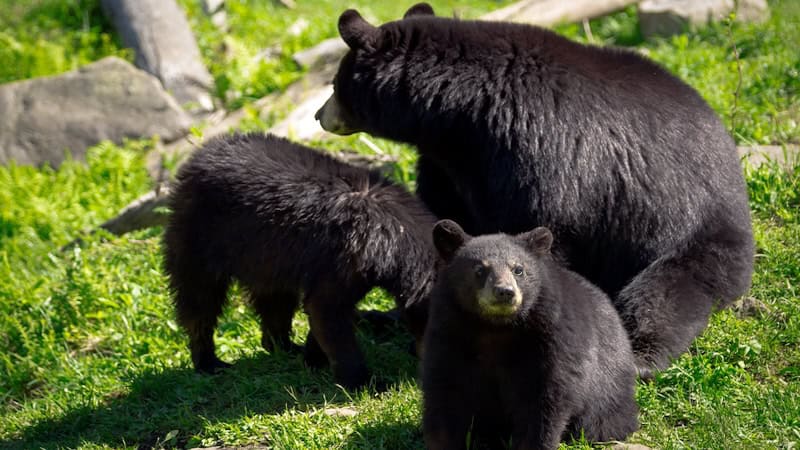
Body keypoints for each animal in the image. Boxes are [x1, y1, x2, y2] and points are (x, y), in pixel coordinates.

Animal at [163, 132, 438, 388]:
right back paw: (209, 362)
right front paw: (365, 382)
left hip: (266, 256)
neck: (396, 233)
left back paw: (283, 346)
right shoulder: (348, 256)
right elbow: (327, 308)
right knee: (200, 299)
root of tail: (198, 156)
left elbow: (322, 312)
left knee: (276, 301)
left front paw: (313, 358)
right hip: (197, 235)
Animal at [316, 3, 752, 376]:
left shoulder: (538, 147)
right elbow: (442, 223)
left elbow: (537, 227)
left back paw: (641, 354)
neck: (460, 115)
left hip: (690, 234)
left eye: (335, 84)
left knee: (664, 296)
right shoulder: (451, 164)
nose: (320, 115)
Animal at [424, 220, 636, 448]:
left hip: (608, 387)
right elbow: (446, 388)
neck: (495, 326)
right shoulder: (450, 330)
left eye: (518, 269)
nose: (505, 292)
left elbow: (544, 397)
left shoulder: (551, 338)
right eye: (480, 269)